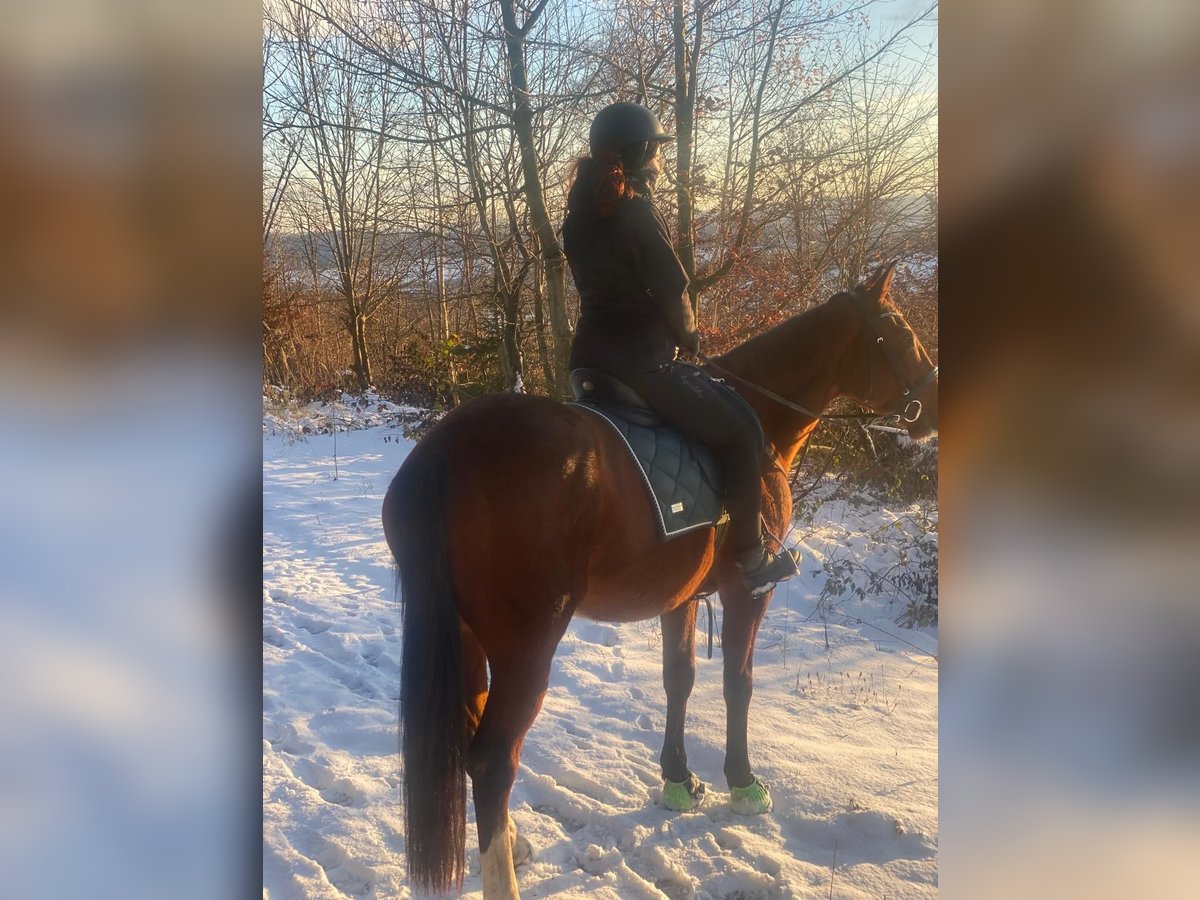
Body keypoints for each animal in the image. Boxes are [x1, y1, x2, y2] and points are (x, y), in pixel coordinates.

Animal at [382, 264, 938, 898]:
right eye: (899, 331)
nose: (934, 404)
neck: (760, 412)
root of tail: (448, 452)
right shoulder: (747, 592)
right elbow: (738, 683)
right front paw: (743, 783)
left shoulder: (681, 596)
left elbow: (681, 678)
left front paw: (678, 780)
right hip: (526, 647)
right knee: (492, 759)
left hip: (467, 638)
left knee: (469, 734)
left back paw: (515, 841)